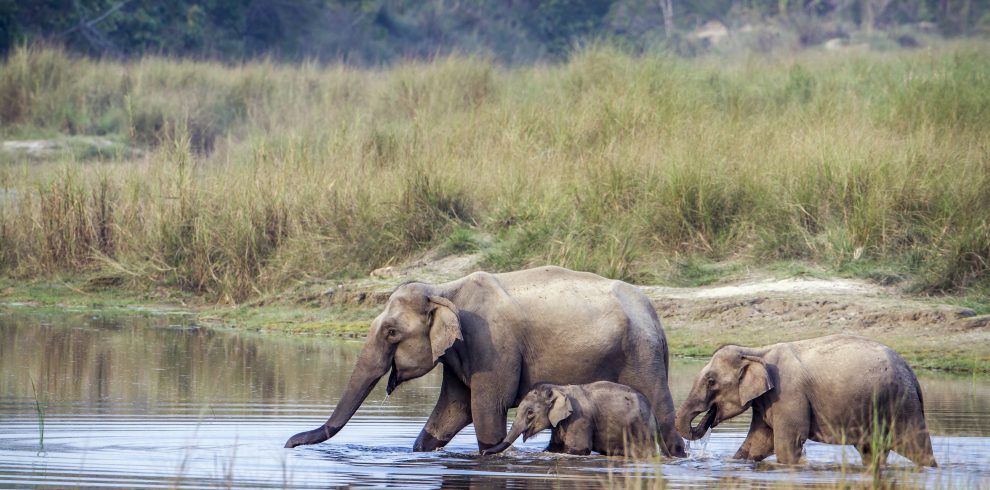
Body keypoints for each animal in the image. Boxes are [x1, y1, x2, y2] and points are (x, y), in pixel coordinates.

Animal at [480, 380, 660, 458]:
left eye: (530, 412)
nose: (483, 453)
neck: (559, 388)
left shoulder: (580, 420)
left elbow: (577, 451)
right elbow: (553, 448)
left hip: (642, 429)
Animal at [676, 334, 936, 468]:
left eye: (711, 381)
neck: (756, 350)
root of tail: (912, 373)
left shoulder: (788, 394)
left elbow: (786, 444)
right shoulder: (767, 399)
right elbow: (759, 442)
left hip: (901, 404)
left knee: (916, 446)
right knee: (871, 451)